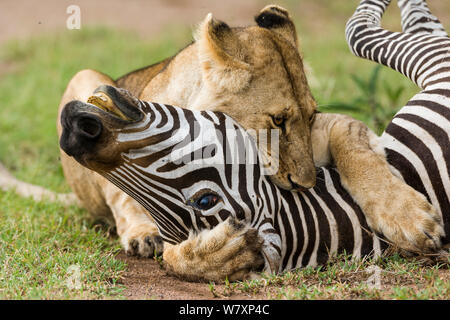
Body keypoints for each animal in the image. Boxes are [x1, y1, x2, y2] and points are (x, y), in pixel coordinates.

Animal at [59, 0, 446, 276]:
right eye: (277, 120)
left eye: (311, 115)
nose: (308, 183)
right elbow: (169, 250)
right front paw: (217, 252)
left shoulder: (325, 131)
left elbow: (354, 144)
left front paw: (405, 215)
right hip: (85, 78)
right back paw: (142, 233)